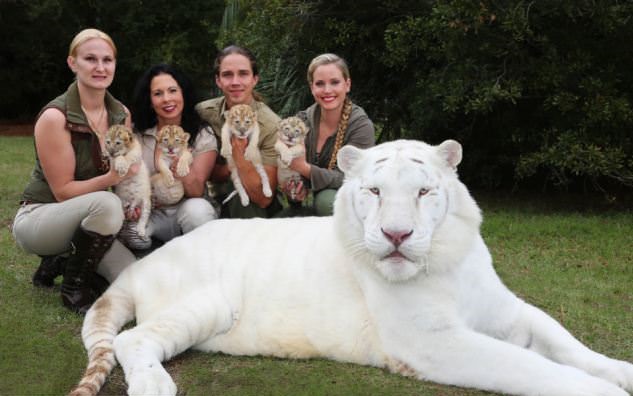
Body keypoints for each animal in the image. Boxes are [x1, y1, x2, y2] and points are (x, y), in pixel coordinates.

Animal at [70, 139, 632, 396]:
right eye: (376, 191)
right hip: (203, 303)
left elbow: (567, 345)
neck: (445, 263)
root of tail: (139, 267)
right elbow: (535, 368)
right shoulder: (432, 341)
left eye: (423, 192)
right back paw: (154, 385)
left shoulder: (508, 311)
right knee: (131, 338)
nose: (397, 235)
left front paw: (621, 371)